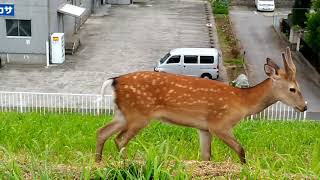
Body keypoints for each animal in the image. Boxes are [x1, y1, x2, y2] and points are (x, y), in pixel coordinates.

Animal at [95, 47, 308, 163]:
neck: (243, 102)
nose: (304, 107)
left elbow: (206, 155)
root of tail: (114, 81)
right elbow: (241, 149)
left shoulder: (204, 128)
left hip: (123, 113)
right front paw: (244, 168)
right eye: (292, 89)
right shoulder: (219, 124)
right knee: (120, 139)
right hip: (139, 114)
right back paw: (124, 164)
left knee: (102, 132)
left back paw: (98, 163)